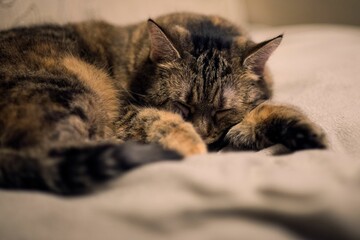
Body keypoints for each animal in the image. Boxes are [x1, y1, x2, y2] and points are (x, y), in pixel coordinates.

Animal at [0, 11, 326, 195]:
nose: (205, 136)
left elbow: (260, 114)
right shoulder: (126, 115)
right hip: (74, 89)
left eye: (223, 110)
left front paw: (305, 133)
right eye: (181, 106)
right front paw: (192, 145)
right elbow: (157, 119)